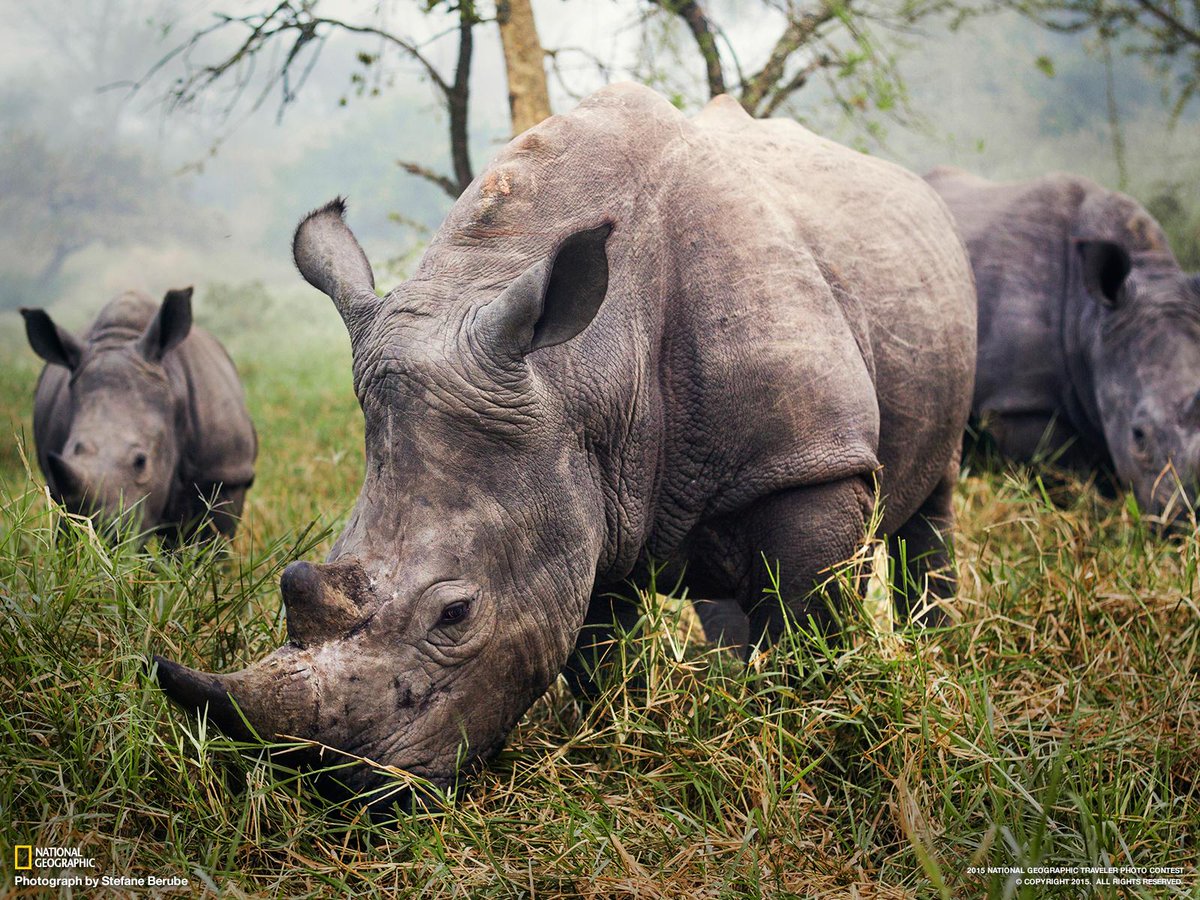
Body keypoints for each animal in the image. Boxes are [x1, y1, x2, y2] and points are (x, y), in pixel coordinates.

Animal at [154, 84, 976, 809]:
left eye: (455, 616)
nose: (345, 790)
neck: (582, 370)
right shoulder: (583, 485)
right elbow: (594, 651)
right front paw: (622, 739)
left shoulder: (809, 463)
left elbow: (803, 624)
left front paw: (795, 738)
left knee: (927, 505)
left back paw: (933, 653)